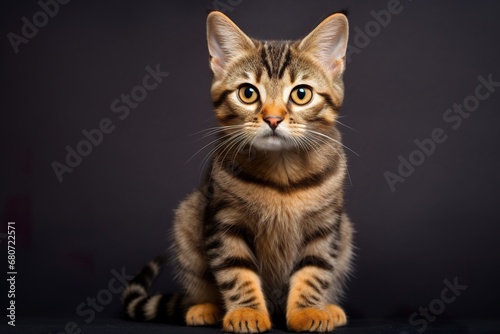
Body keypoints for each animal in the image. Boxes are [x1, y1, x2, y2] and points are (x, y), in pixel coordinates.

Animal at [122, 9, 354, 332]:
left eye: (301, 94)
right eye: (248, 93)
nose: (273, 118)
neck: (282, 173)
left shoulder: (326, 225)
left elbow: (314, 271)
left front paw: (308, 311)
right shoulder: (224, 221)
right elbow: (236, 272)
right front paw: (246, 312)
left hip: (346, 233)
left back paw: (328, 308)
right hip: (188, 217)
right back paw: (205, 308)